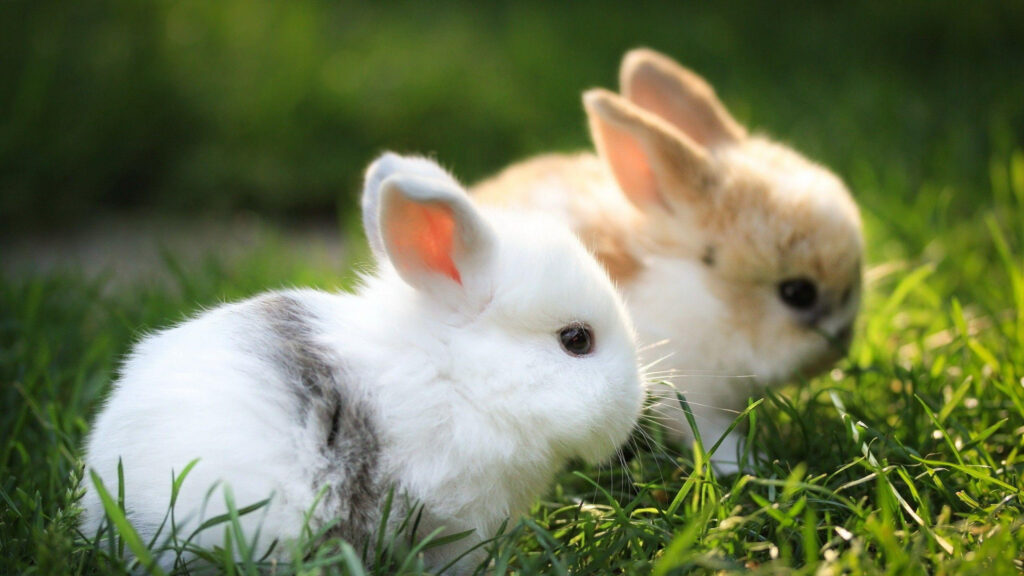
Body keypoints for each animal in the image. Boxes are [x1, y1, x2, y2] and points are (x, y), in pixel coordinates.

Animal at [474, 48, 863, 473]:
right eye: (797, 292)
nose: (839, 348)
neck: (707, 298)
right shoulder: (688, 393)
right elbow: (710, 433)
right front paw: (749, 465)